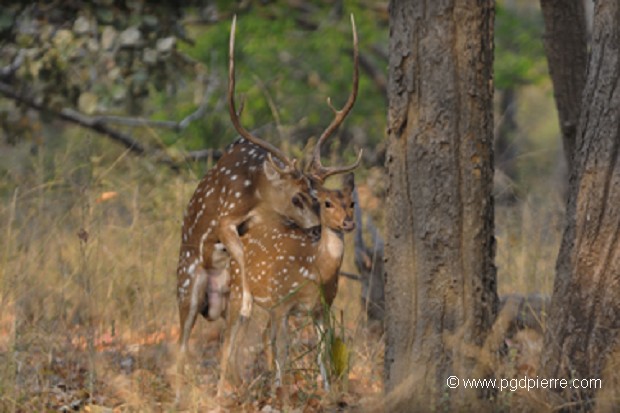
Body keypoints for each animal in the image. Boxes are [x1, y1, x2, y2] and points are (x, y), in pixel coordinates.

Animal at [218, 172, 356, 394]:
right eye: (327, 203)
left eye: (352, 203)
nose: (348, 223)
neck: (313, 268)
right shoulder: (283, 303)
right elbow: (283, 349)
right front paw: (279, 391)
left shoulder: (322, 308)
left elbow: (322, 349)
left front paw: (327, 391)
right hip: (239, 289)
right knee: (228, 341)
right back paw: (220, 392)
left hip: (263, 304)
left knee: (248, 340)